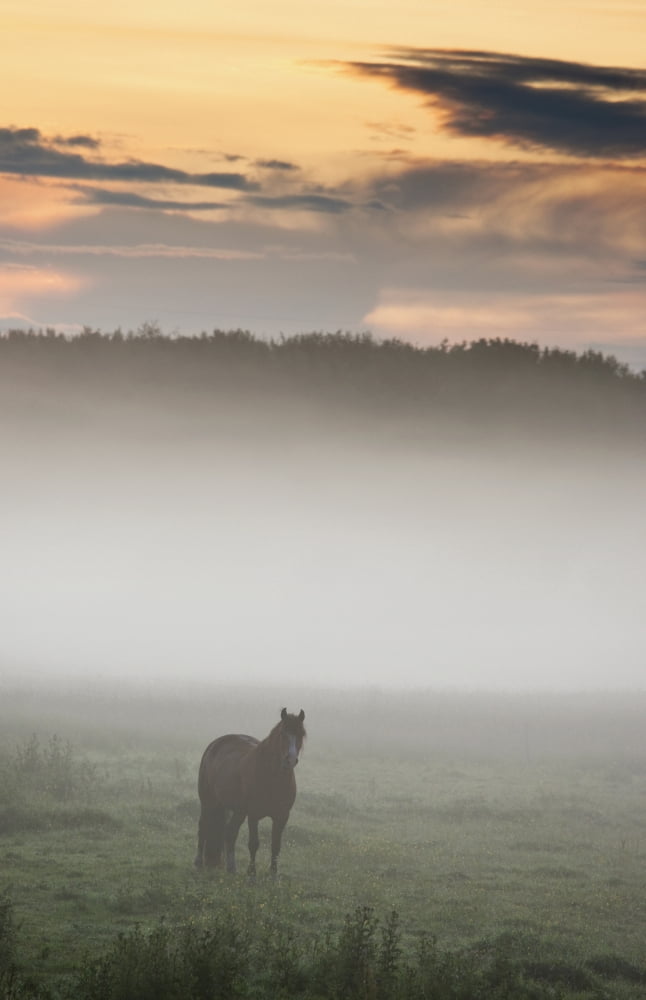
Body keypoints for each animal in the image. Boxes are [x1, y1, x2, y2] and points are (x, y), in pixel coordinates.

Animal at [194, 707, 306, 879]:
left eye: (301, 734)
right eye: (282, 734)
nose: (290, 760)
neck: (273, 779)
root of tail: (214, 745)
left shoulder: (281, 816)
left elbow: (276, 845)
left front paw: (273, 874)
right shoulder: (253, 814)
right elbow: (254, 844)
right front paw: (251, 873)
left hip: (238, 810)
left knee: (230, 832)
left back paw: (231, 868)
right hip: (208, 802)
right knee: (203, 827)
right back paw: (199, 863)